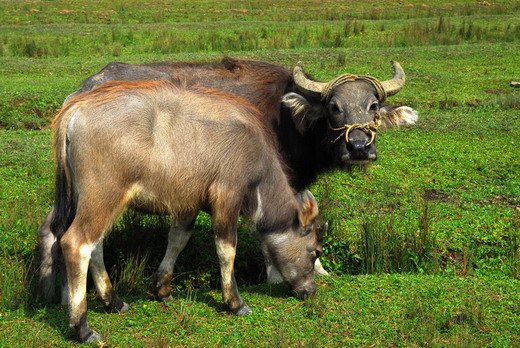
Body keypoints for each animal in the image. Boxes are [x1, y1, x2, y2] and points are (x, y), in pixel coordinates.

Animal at [38, 57, 416, 304]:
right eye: (335, 107)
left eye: (373, 106)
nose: (359, 146)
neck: (290, 120)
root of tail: (80, 95)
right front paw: (280, 273)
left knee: (54, 228)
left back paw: (53, 291)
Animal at [49, 81, 324, 342]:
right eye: (315, 252)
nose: (310, 291)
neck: (255, 154)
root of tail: (78, 107)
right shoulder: (227, 197)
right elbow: (227, 249)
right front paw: (235, 303)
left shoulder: (186, 205)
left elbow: (178, 240)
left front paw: (162, 288)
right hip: (103, 197)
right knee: (77, 243)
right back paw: (83, 328)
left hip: (92, 202)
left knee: (96, 245)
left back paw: (114, 302)